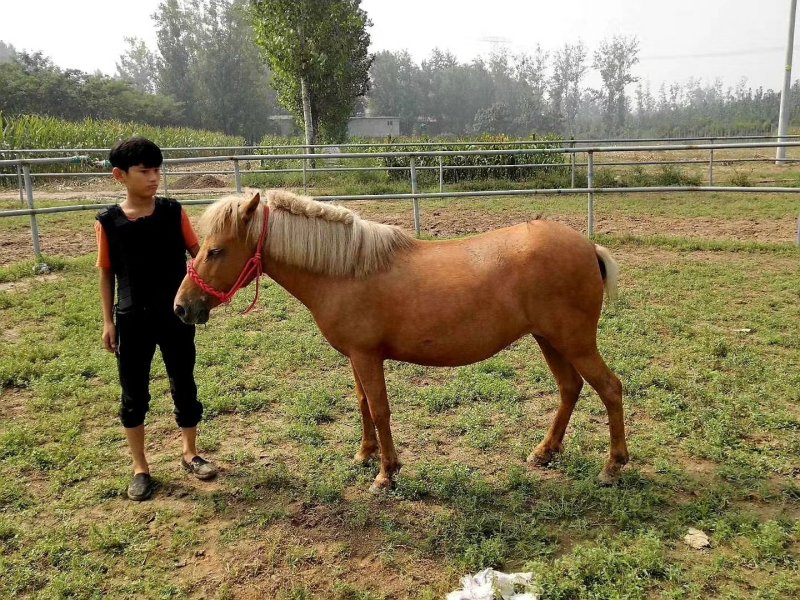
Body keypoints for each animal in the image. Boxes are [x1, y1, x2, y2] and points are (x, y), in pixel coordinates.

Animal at [174, 189, 629, 491]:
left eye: (216, 251)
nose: (181, 307)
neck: (345, 270)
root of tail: (588, 247)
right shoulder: (356, 357)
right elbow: (362, 403)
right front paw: (365, 455)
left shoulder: (366, 356)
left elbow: (379, 409)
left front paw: (386, 473)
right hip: (549, 340)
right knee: (570, 389)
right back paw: (545, 451)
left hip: (574, 343)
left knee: (610, 389)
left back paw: (612, 466)